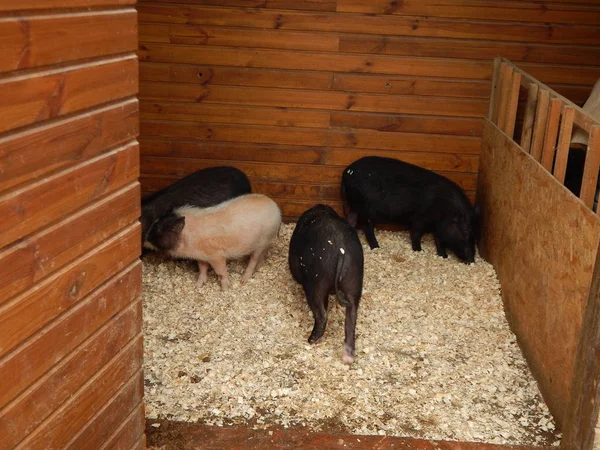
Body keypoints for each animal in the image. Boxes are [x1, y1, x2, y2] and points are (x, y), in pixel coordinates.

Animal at [145, 195, 282, 290]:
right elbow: (202, 269)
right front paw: (197, 286)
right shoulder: (201, 256)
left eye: (158, 229)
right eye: (155, 224)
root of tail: (276, 209)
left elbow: (221, 272)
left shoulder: (216, 255)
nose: (144, 239)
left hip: (261, 242)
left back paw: (243, 280)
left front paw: (226, 289)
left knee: (253, 259)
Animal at [288, 206, 364, 364]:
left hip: (317, 279)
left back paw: (311, 340)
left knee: (321, 313)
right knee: (352, 314)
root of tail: (340, 250)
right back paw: (348, 358)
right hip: (354, 278)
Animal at [342, 156, 478, 264]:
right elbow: (416, 233)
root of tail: (346, 173)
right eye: (465, 233)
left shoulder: (438, 226)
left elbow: (439, 240)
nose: (471, 260)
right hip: (366, 209)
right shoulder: (420, 218)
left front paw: (443, 256)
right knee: (367, 227)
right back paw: (376, 247)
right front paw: (419, 250)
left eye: (474, 235)